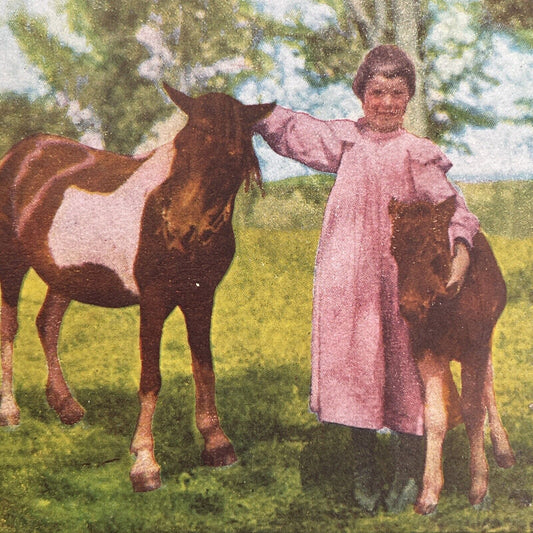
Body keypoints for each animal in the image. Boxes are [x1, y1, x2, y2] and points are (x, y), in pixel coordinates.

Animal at [0, 83, 274, 490]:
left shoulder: (201, 297)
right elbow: (150, 379)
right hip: (12, 263)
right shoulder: (154, 300)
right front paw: (145, 463)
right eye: (183, 146)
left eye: (230, 155)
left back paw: (67, 407)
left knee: (47, 324)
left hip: (66, 274)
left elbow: (204, 368)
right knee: (10, 328)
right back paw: (10, 412)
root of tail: (22, 152)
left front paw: (217, 444)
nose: (176, 228)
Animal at [388, 197, 512, 512]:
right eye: (394, 248)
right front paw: (428, 494)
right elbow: (434, 416)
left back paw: (503, 451)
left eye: (435, 248)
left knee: (488, 382)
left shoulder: (475, 346)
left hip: (486, 338)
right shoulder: (426, 350)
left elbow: (473, 409)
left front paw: (478, 488)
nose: (410, 307)